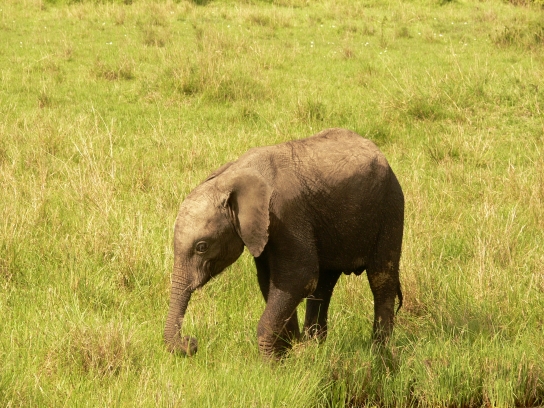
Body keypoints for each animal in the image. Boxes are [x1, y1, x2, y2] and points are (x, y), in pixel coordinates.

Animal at [164, 128, 404, 359]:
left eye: (201, 247)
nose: (191, 343)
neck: (233, 176)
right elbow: (271, 281)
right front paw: (288, 354)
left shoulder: (287, 214)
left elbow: (299, 277)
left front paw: (272, 365)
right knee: (324, 283)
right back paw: (315, 347)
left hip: (390, 206)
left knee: (381, 278)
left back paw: (380, 353)